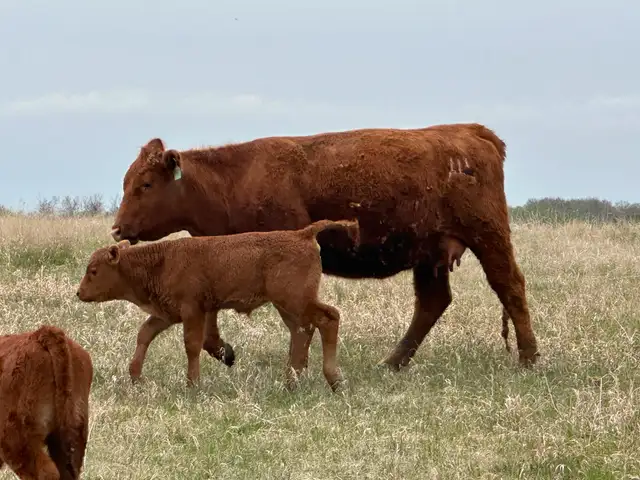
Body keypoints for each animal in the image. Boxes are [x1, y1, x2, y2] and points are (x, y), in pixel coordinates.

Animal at [76, 219, 361, 391]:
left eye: (93, 270)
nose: (79, 293)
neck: (160, 261)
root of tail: (303, 233)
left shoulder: (192, 311)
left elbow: (191, 345)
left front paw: (192, 384)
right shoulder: (168, 315)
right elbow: (145, 335)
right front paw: (136, 377)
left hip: (295, 301)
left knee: (328, 319)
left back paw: (334, 381)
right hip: (287, 307)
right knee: (302, 331)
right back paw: (292, 381)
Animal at [109, 122, 539, 370]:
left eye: (145, 183)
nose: (117, 228)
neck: (232, 180)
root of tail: (474, 133)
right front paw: (225, 351)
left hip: (489, 238)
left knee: (510, 288)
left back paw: (529, 358)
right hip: (430, 255)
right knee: (432, 303)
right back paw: (391, 363)